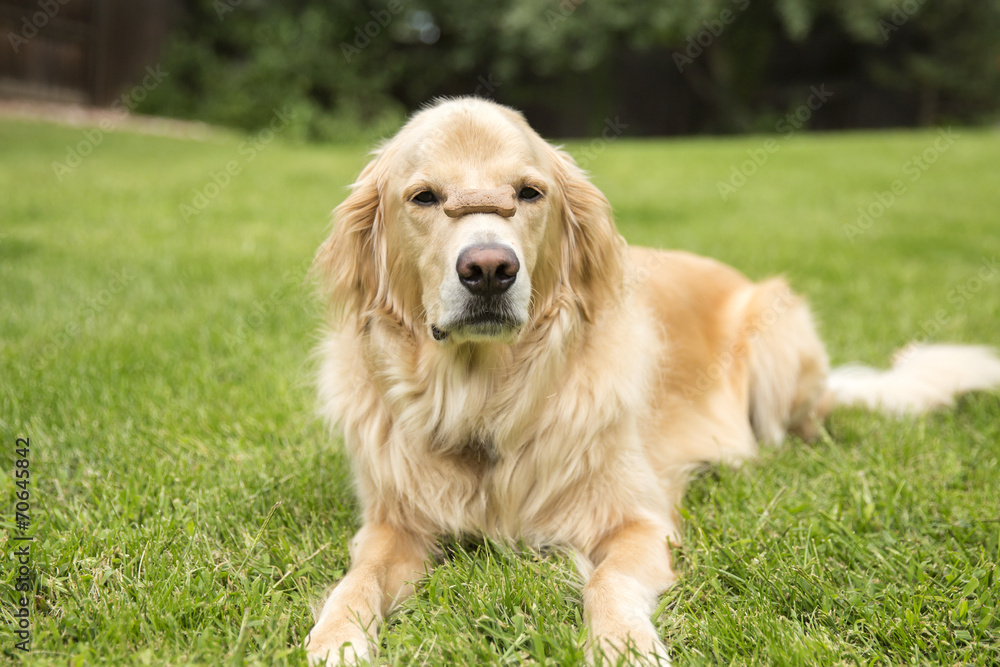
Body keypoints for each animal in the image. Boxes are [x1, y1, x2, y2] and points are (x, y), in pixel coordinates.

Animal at [304, 96, 1000, 664]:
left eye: (529, 193)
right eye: (423, 197)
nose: (490, 269)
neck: (486, 400)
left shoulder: (639, 521)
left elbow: (607, 580)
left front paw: (623, 643)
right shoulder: (391, 524)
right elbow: (356, 580)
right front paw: (336, 638)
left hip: (776, 328)